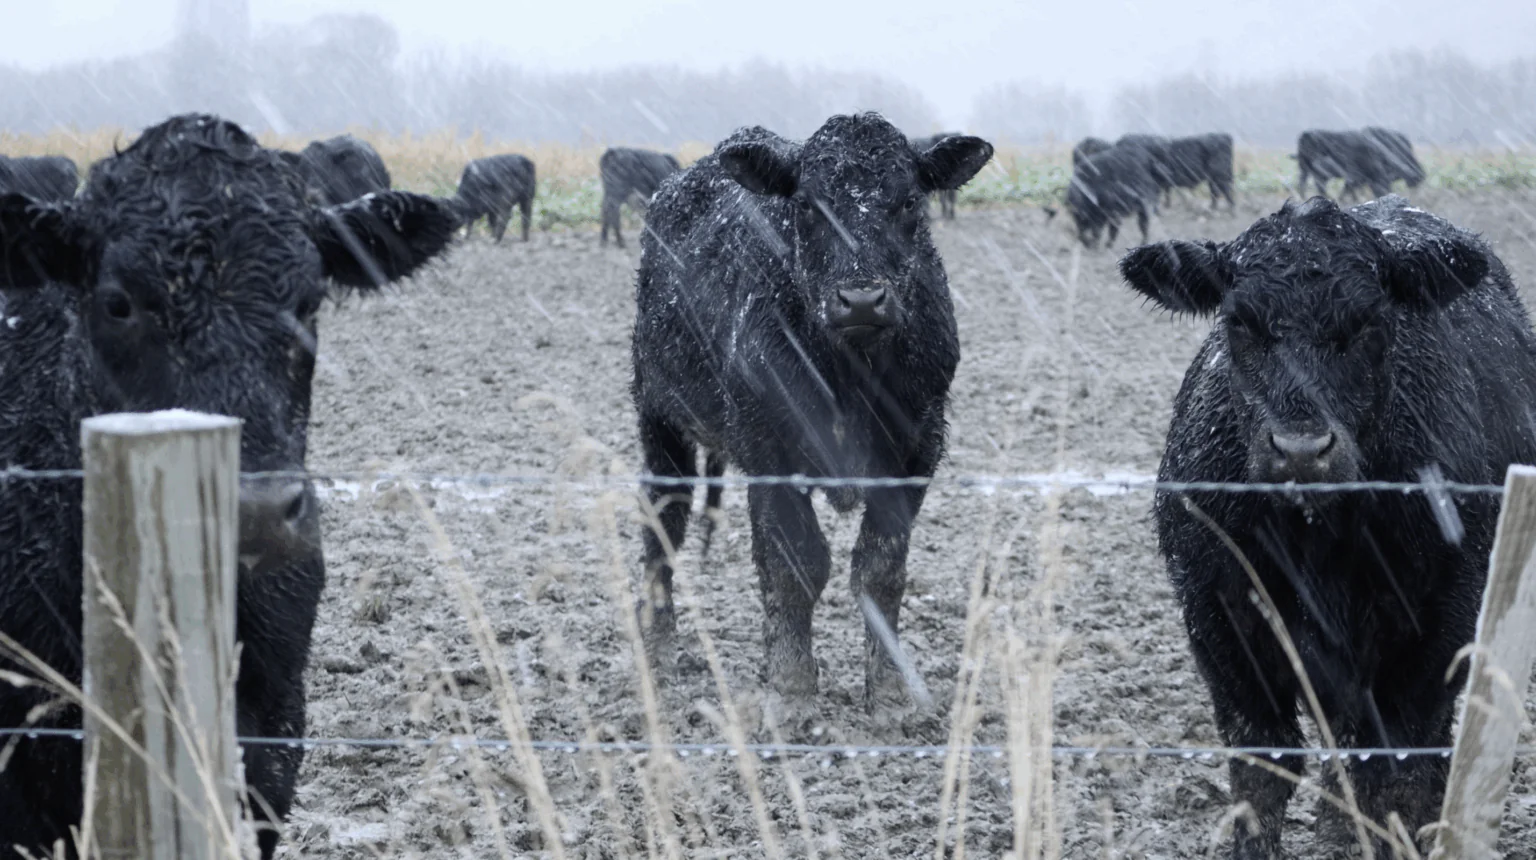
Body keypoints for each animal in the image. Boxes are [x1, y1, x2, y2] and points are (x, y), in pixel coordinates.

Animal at [630, 114, 991, 711]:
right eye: (806, 206)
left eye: (909, 202)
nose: (862, 299)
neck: (850, 372)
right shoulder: (769, 452)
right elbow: (793, 566)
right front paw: (791, 690)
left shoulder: (917, 450)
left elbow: (880, 568)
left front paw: (891, 693)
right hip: (659, 420)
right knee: (664, 525)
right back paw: (657, 650)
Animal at [1118, 195, 1536, 859]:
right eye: (1239, 322)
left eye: (1370, 322)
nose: (1300, 450)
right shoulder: (1219, 621)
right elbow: (1260, 771)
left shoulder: (1437, 627)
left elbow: (1398, 771)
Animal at [1294, 128, 1424, 201]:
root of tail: (1306, 134)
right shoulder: (1355, 174)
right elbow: (1350, 186)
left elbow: (1351, 187)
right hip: (1308, 168)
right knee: (1309, 183)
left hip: (1306, 168)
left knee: (1306, 182)